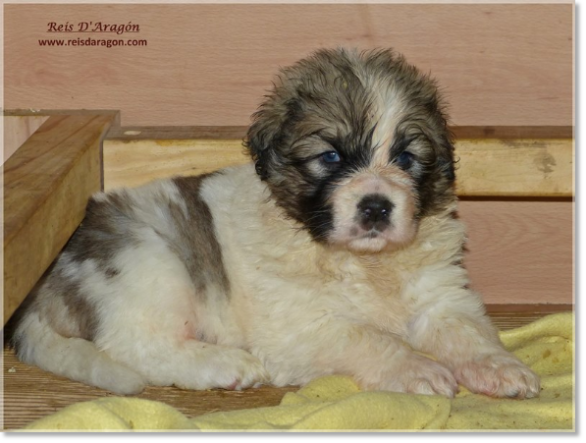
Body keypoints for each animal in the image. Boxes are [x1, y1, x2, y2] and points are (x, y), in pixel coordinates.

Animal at [8, 47, 540, 398]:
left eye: (406, 159)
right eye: (330, 156)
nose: (375, 207)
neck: (364, 266)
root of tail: (47, 284)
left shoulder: (442, 296)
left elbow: (467, 332)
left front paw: (500, 367)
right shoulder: (303, 324)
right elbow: (369, 337)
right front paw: (417, 369)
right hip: (151, 261)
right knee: (135, 345)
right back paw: (225, 365)